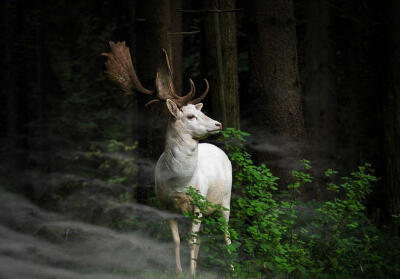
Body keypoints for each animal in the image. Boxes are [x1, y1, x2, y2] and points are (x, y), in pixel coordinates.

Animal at [103, 42, 233, 276]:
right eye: (190, 116)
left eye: (200, 112)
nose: (218, 124)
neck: (179, 182)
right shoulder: (165, 205)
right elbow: (176, 240)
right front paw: (180, 271)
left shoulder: (198, 203)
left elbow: (191, 241)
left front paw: (191, 273)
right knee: (203, 237)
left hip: (225, 200)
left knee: (226, 234)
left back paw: (232, 268)